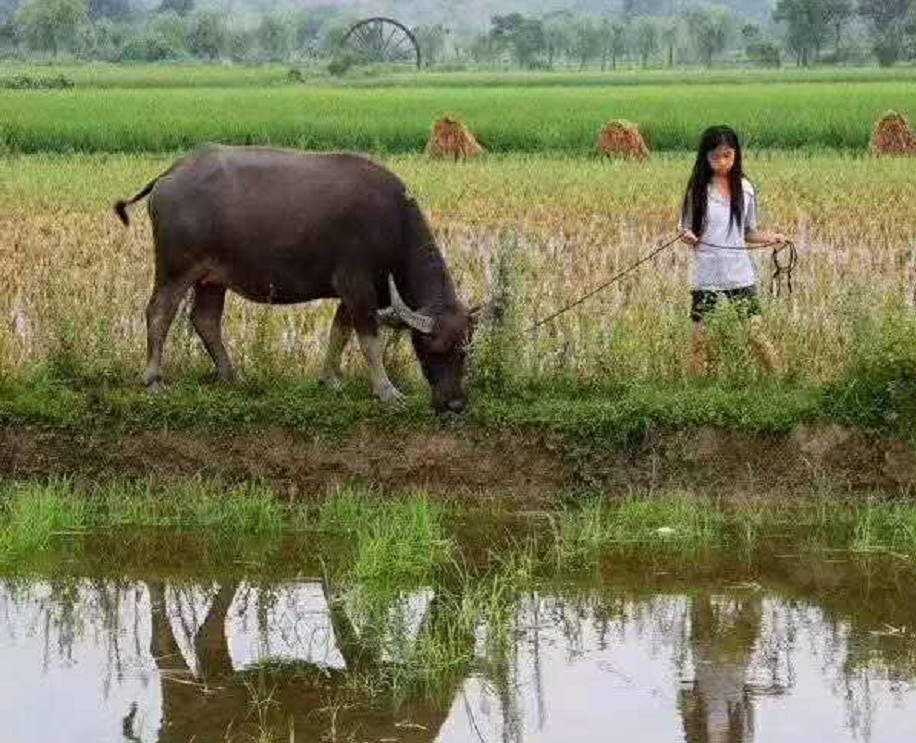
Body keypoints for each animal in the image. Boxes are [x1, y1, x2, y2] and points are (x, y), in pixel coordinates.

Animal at [114, 144, 480, 412]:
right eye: (433, 349)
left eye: (464, 350)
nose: (455, 404)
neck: (393, 226)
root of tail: (171, 172)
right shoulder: (357, 285)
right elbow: (368, 342)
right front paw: (387, 392)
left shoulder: (355, 292)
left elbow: (339, 333)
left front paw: (330, 379)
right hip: (175, 269)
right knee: (159, 313)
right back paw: (154, 379)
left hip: (211, 278)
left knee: (205, 320)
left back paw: (231, 375)